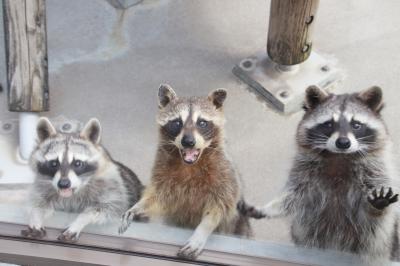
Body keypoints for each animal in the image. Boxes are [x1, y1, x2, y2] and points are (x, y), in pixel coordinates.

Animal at [118, 84, 253, 260]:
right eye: (176, 122)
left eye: (202, 122)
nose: (188, 142)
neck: (190, 164)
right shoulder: (162, 170)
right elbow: (158, 197)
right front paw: (138, 206)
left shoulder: (225, 173)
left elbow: (220, 206)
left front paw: (203, 230)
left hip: (241, 225)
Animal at [239, 86, 398, 264]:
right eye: (328, 124)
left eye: (356, 125)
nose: (343, 143)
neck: (339, 156)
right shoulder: (304, 171)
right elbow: (292, 197)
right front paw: (270, 208)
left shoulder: (375, 170)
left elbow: (374, 215)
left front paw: (378, 204)